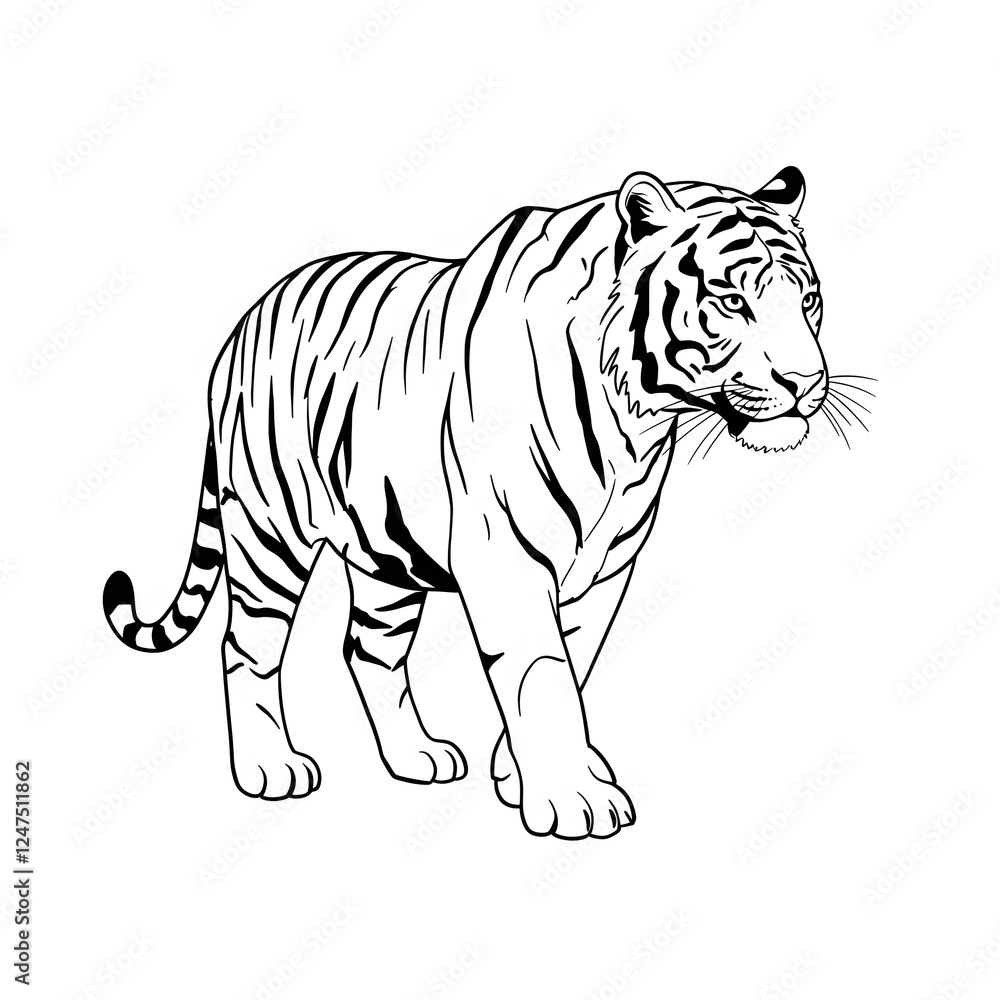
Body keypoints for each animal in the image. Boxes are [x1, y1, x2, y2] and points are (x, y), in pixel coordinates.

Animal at [104, 165, 848, 840]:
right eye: (732, 301)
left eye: (810, 300)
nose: (806, 381)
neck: (638, 422)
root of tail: (246, 318)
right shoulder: (506, 555)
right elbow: (540, 673)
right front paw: (575, 799)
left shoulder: (605, 569)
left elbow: (572, 665)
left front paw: (522, 775)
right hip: (268, 533)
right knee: (246, 646)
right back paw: (270, 768)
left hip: (387, 557)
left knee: (366, 650)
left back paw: (417, 756)